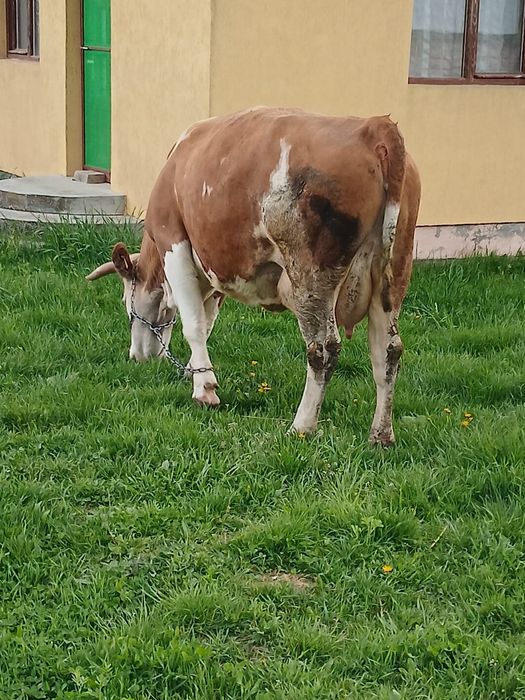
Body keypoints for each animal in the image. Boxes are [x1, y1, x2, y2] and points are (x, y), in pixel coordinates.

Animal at [87, 107, 421, 444]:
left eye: (126, 305)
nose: (138, 355)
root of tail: (372, 126)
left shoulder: (174, 242)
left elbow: (193, 324)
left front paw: (205, 390)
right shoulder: (216, 268)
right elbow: (206, 323)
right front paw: (194, 372)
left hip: (310, 275)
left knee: (324, 348)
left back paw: (302, 426)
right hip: (393, 275)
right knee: (388, 351)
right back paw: (380, 435)